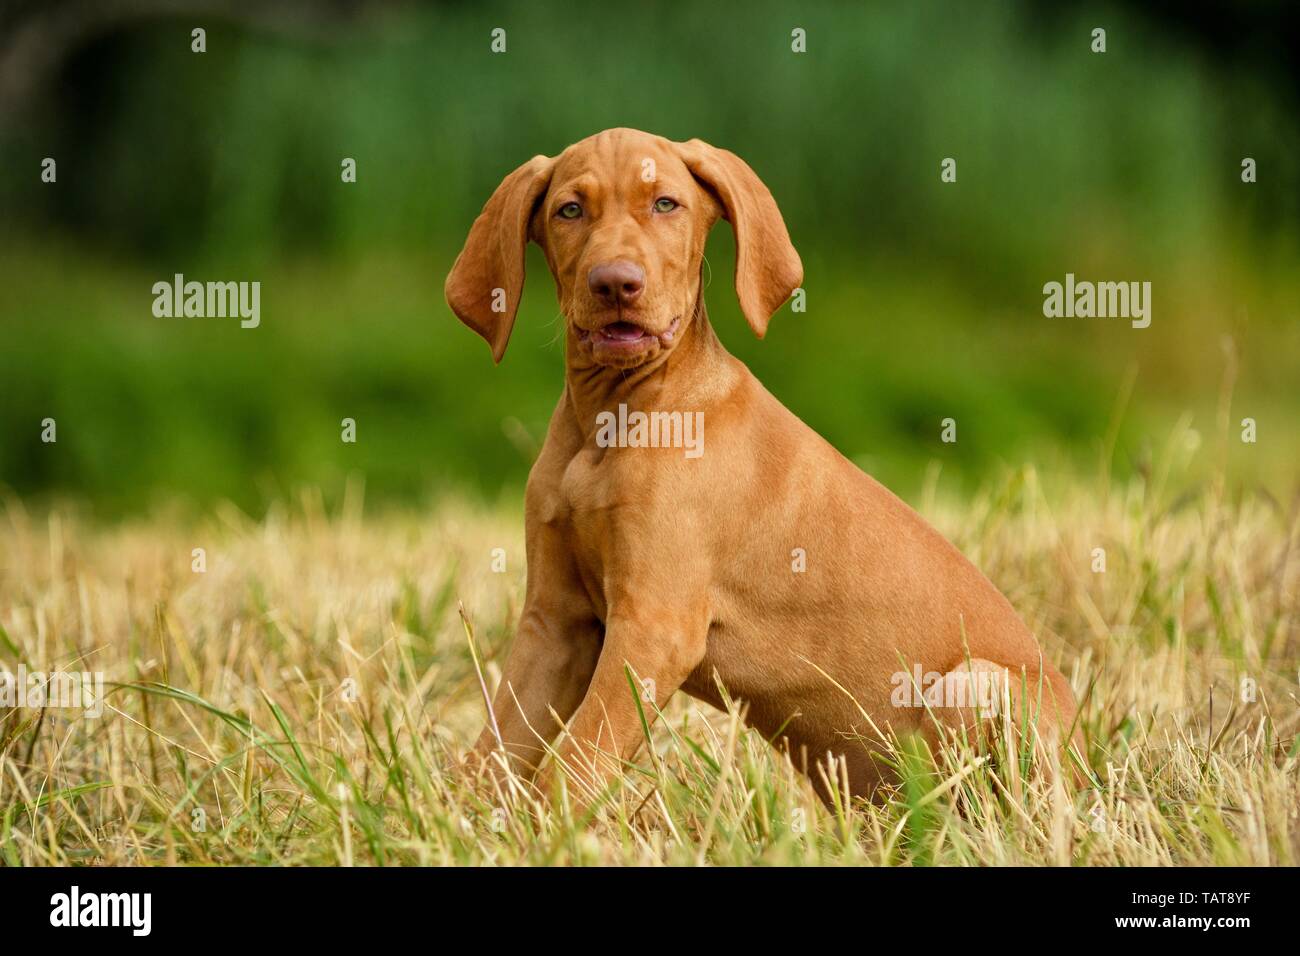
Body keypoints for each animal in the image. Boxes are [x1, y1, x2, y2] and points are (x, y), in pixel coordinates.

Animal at [447, 125, 1076, 801]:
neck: (612, 420)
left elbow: (574, 766)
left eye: (666, 204)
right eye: (569, 210)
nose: (616, 283)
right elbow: (493, 754)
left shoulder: (654, 627)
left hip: (976, 683)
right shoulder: (557, 625)